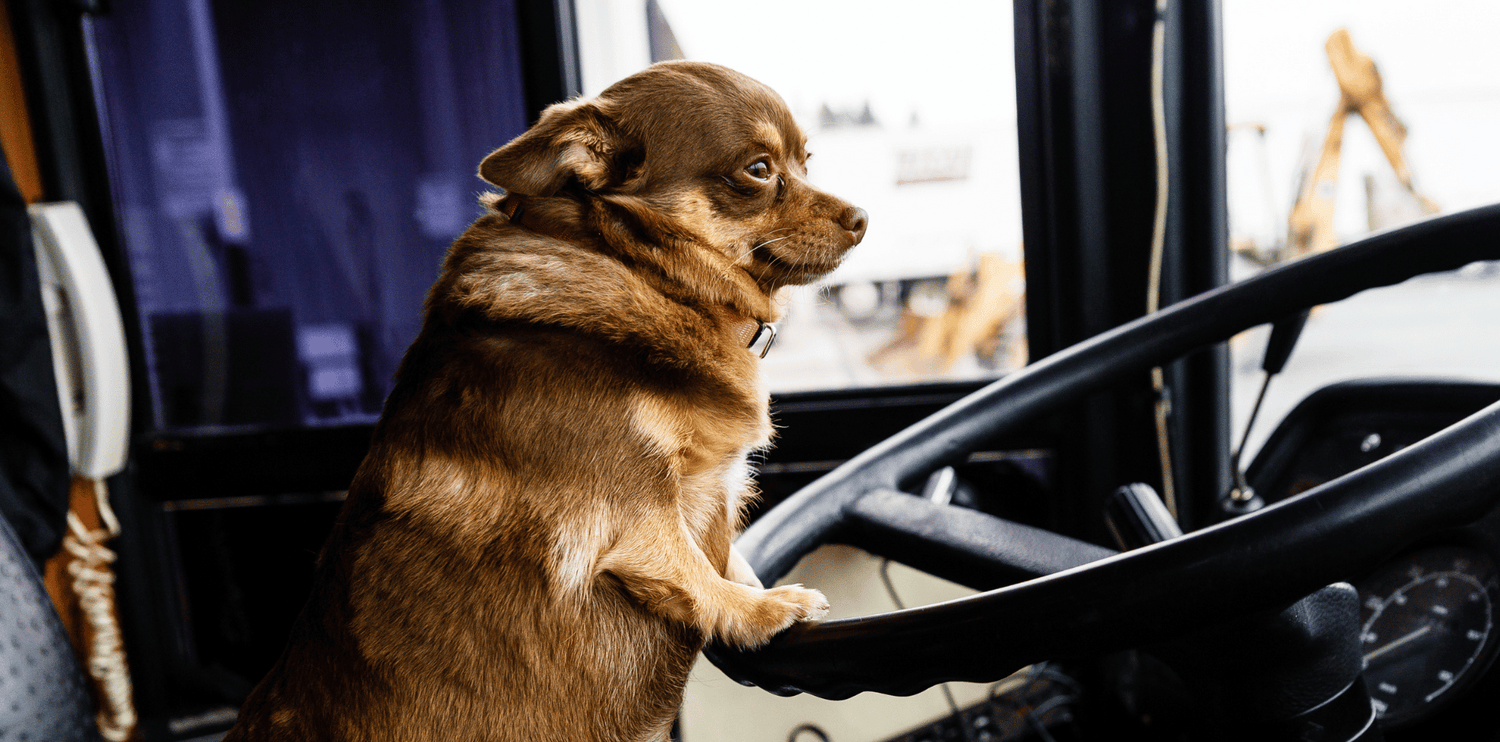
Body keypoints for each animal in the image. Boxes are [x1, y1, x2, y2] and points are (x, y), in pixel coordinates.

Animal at [228, 61, 876, 740]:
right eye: (759, 169)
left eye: (806, 161)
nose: (862, 217)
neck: (645, 271)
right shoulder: (637, 513)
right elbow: (694, 572)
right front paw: (761, 609)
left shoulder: (712, 490)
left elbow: (731, 556)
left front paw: (760, 586)